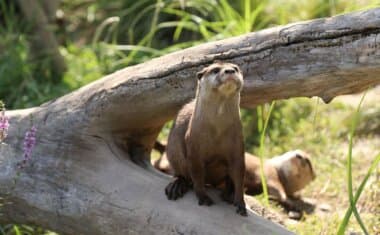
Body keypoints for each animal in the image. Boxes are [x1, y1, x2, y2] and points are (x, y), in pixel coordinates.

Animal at [163, 61, 246, 216]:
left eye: (236, 68)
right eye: (215, 70)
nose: (230, 71)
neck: (217, 131)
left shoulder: (238, 145)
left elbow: (239, 173)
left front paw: (240, 203)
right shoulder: (194, 146)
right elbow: (197, 174)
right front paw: (203, 197)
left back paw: (228, 193)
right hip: (173, 149)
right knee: (181, 171)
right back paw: (177, 185)